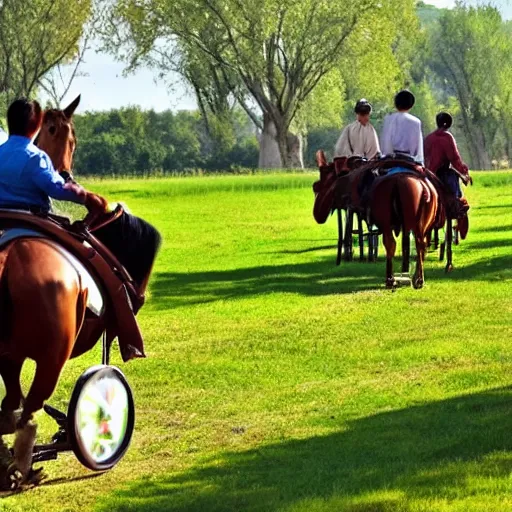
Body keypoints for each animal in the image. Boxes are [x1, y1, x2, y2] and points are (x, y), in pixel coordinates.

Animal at [0, 97, 160, 488]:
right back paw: (25, 465)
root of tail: (9, 259)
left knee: (13, 407)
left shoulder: (11, 356)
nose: (66, 174)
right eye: (67, 134)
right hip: (52, 355)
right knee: (30, 408)